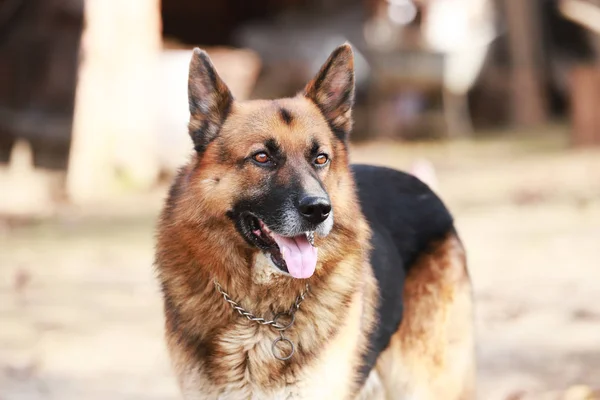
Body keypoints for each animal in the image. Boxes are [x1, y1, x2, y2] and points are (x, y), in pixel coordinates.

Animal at [157, 44, 476, 400]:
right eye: (262, 157)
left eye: (320, 158)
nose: (319, 210)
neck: (259, 315)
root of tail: (423, 187)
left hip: (422, 381)